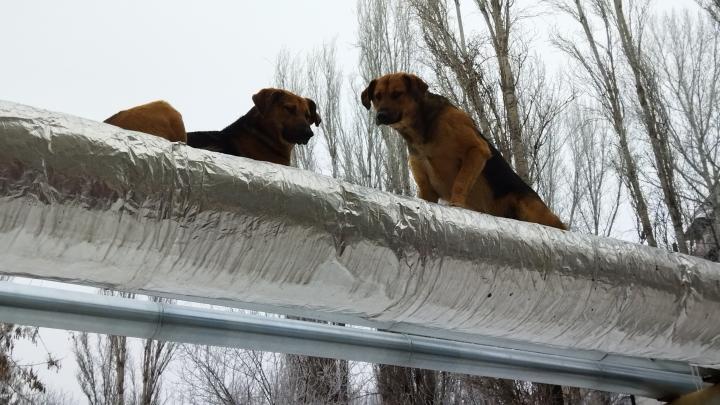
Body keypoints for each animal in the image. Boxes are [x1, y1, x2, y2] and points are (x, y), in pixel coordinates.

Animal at [362, 73, 564, 230]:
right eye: (377, 96)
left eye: (397, 94)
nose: (380, 116)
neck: (420, 131)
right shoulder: (426, 189)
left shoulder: (477, 150)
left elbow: (461, 180)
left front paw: (456, 203)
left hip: (528, 207)